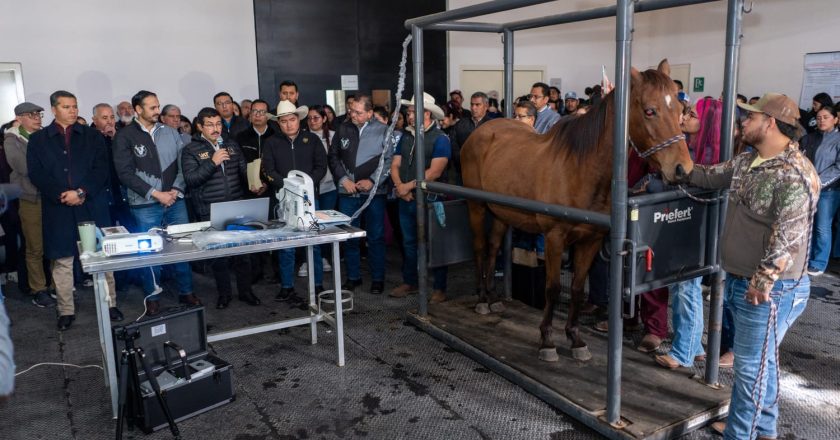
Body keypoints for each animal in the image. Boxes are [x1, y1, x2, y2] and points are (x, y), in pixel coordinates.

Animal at [460, 59, 688, 360]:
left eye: (680, 109)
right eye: (650, 110)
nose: (683, 168)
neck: (580, 169)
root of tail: (481, 131)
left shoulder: (591, 241)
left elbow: (579, 289)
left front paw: (575, 338)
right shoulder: (555, 238)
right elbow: (553, 288)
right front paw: (547, 340)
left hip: (501, 212)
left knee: (494, 246)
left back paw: (493, 298)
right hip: (476, 206)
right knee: (479, 247)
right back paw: (482, 299)